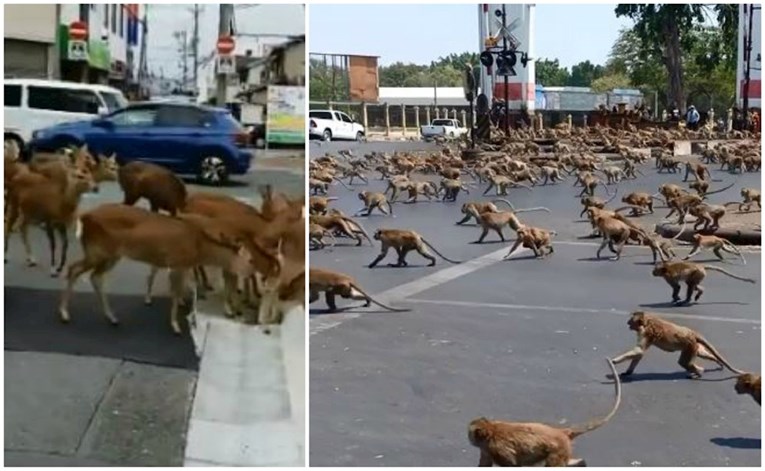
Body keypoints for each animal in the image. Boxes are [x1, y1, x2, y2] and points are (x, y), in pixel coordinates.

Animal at [466, 360, 620, 466]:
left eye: (470, 433)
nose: (469, 437)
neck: (491, 430)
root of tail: (561, 432)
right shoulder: (486, 449)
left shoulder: (496, 448)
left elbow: (513, 465)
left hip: (558, 449)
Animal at [612, 314, 744, 380]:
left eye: (630, 320)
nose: (627, 323)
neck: (646, 322)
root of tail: (692, 332)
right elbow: (639, 354)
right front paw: (628, 372)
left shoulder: (646, 333)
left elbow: (639, 351)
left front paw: (614, 361)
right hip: (693, 345)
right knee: (700, 354)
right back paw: (713, 363)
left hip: (689, 345)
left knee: (685, 363)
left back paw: (698, 372)